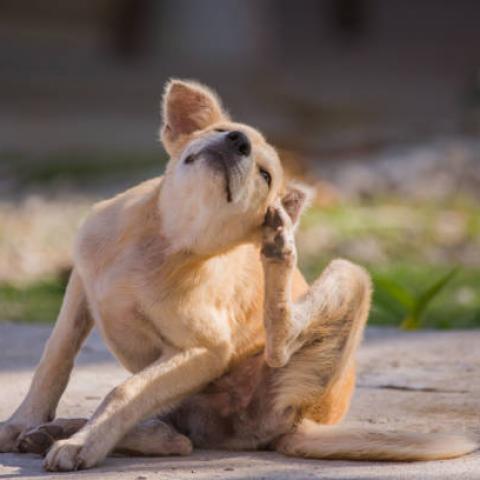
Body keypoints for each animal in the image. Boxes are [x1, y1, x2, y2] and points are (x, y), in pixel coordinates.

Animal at [0, 79, 476, 472]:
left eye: (265, 175)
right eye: (221, 129)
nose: (238, 141)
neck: (164, 240)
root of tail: (303, 424)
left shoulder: (205, 350)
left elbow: (126, 391)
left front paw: (82, 445)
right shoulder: (81, 285)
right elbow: (55, 358)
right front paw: (24, 421)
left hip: (348, 278)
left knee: (269, 352)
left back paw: (279, 251)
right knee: (176, 437)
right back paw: (59, 430)